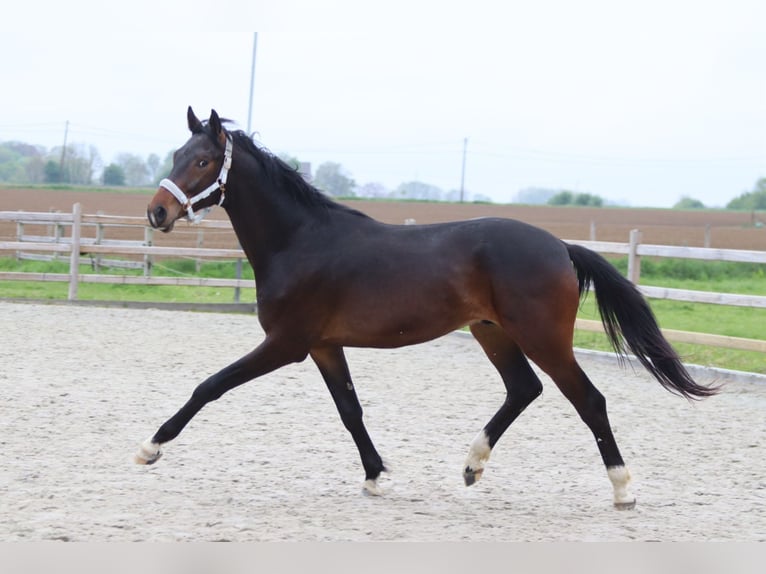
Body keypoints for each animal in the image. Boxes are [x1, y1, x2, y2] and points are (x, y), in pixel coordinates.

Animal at [136, 107, 717, 509]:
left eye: (203, 160)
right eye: (175, 156)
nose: (156, 213)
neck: (299, 240)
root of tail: (560, 247)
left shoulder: (286, 344)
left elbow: (209, 386)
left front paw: (150, 447)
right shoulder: (324, 347)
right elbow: (350, 410)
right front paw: (375, 476)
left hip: (542, 337)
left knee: (589, 401)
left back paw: (623, 490)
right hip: (492, 331)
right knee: (523, 389)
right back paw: (472, 467)